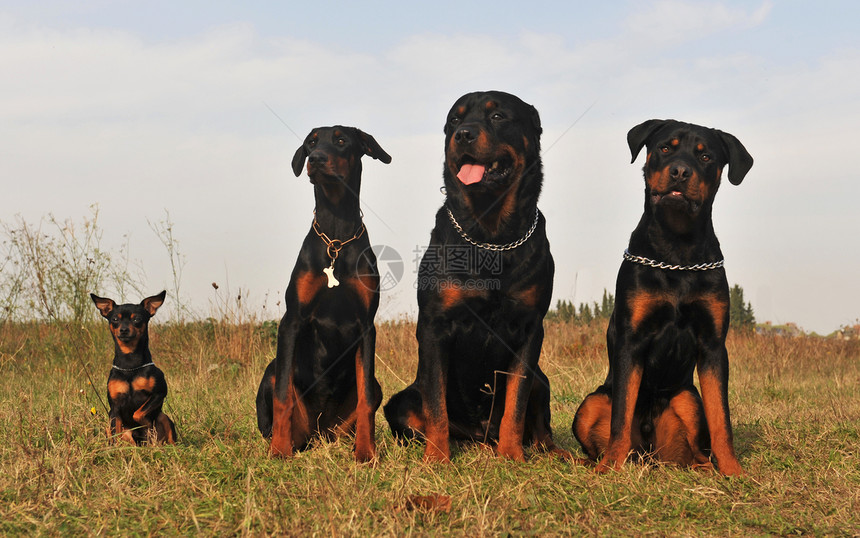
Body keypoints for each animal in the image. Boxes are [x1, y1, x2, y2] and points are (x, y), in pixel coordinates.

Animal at [91, 292, 176, 442]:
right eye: (114, 319)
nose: (123, 330)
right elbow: (116, 434)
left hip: (164, 417)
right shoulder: (114, 408)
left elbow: (138, 414)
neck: (129, 364)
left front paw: (146, 424)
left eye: (137, 319)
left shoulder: (159, 393)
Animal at [255, 125, 390, 460]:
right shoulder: (292, 320)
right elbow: (282, 398)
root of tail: (317, 431)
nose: (314, 159)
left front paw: (366, 453)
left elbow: (366, 399)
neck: (336, 237)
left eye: (341, 140)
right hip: (272, 373)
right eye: (311, 142)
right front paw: (279, 451)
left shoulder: (366, 326)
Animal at [572, 118, 752, 474]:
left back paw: (705, 467)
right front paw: (611, 468)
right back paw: (597, 462)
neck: (677, 250)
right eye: (665, 148)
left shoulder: (713, 345)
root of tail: (648, 453)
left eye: (706, 156)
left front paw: (733, 470)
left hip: (687, 399)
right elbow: (620, 417)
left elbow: (721, 419)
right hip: (591, 402)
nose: (680, 171)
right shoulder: (632, 339)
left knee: (696, 448)